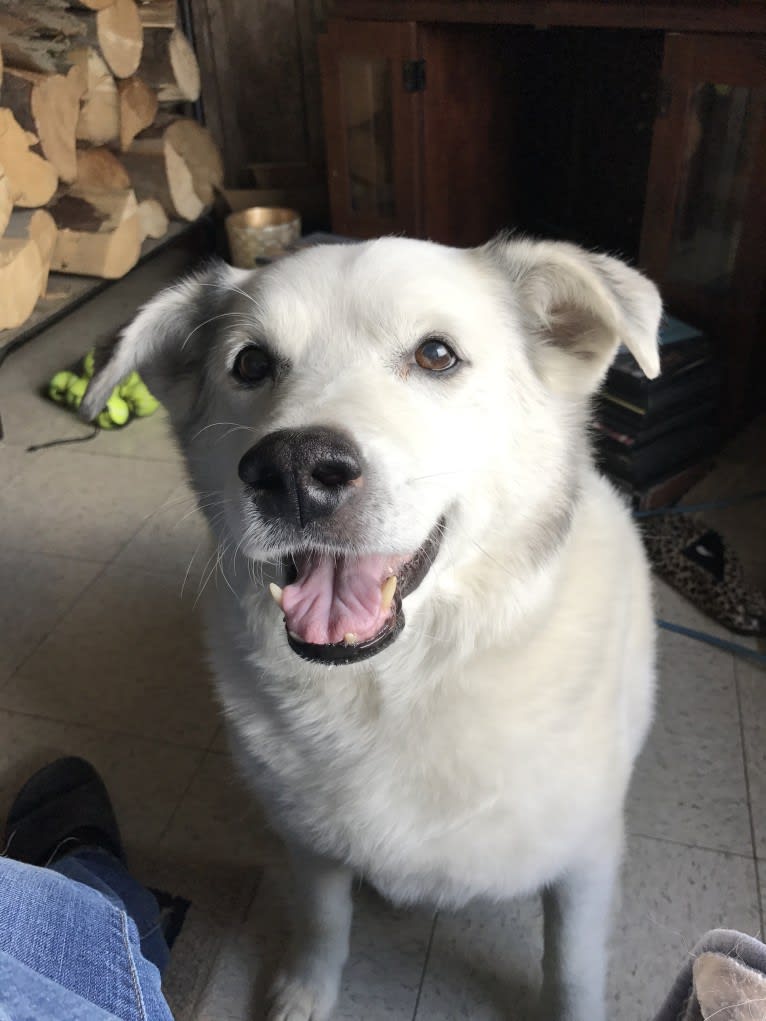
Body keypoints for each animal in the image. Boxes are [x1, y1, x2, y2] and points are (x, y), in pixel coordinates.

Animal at [82, 234, 661, 1021]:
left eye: (437, 354)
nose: (292, 470)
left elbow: (570, 968)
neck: (395, 686)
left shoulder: (585, 861)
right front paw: (306, 991)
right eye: (250, 364)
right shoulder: (310, 842)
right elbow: (324, 920)